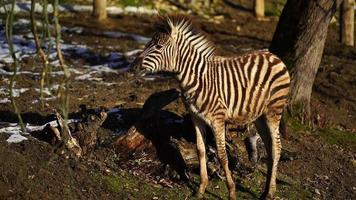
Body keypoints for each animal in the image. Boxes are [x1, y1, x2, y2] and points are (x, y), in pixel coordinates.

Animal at [134, 16, 290, 200]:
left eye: (158, 47)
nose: (134, 65)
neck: (196, 79)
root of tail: (274, 56)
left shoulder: (218, 119)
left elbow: (222, 155)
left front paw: (231, 191)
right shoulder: (195, 116)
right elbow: (200, 150)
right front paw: (201, 189)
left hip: (274, 111)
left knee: (277, 147)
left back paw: (270, 192)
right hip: (259, 115)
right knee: (269, 146)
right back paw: (266, 191)